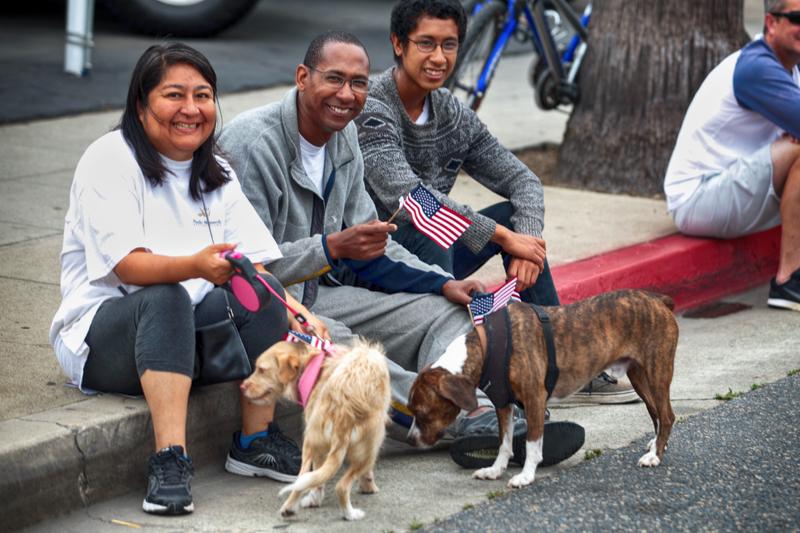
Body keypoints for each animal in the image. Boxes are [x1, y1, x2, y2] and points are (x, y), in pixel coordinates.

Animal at [244, 338, 394, 516]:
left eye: (261, 370)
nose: (242, 386)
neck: (311, 364)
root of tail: (344, 409)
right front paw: (368, 486)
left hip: (312, 443)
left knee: (304, 479)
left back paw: (292, 507)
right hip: (371, 445)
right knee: (341, 486)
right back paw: (350, 514)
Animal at [410, 288, 680, 488]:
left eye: (423, 413)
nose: (410, 439)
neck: (487, 347)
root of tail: (658, 300)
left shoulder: (534, 399)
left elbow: (532, 443)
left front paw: (526, 476)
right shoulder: (503, 405)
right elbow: (504, 443)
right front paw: (496, 470)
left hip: (657, 371)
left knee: (667, 415)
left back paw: (655, 455)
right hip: (639, 376)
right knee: (655, 413)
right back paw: (656, 445)